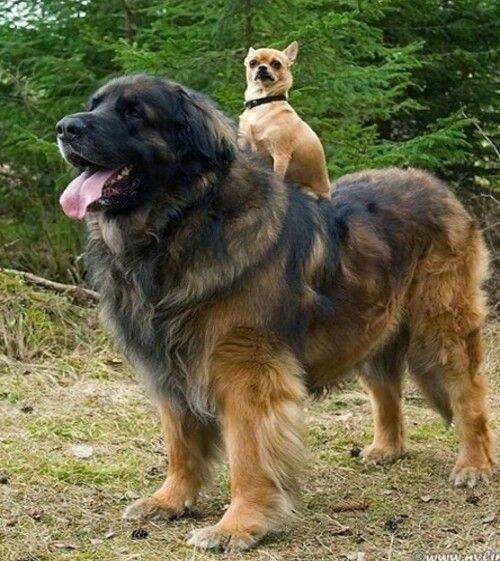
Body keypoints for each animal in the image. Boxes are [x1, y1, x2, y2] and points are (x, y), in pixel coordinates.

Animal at [57, 75, 494, 553]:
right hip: (367, 325)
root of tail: (436, 185)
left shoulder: (246, 372)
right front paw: (170, 500)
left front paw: (238, 524)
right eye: (94, 105)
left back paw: (474, 465)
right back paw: (386, 449)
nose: (65, 128)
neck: (182, 224)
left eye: (134, 112)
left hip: (442, 325)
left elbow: (249, 455)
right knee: (386, 391)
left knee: (468, 393)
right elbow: (180, 444)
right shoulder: (169, 366)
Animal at [239, 42, 331, 196]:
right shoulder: (244, 145)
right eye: (252, 62)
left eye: (276, 64)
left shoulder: (280, 155)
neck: (263, 101)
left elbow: (277, 178)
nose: (262, 67)